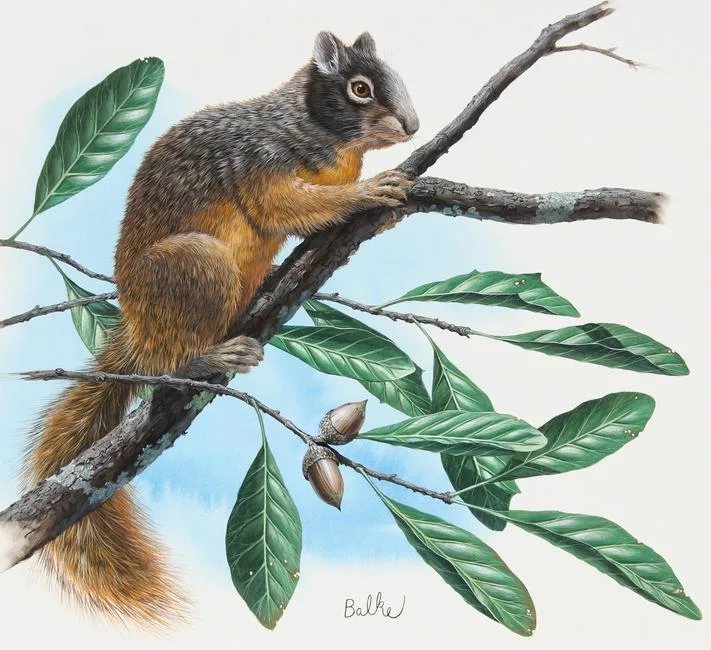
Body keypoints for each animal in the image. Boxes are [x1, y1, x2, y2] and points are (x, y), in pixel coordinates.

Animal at [22, 31, 418, 628]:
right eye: (359, 89)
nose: (414, 126)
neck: (323, 135)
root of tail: (139, 327)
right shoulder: (260, 160)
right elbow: (285, 204)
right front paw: (372, 191)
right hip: (195, 270)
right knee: (166, 366)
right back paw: (210, 358)